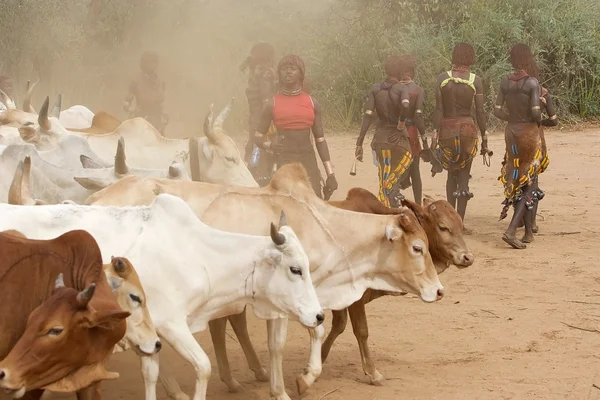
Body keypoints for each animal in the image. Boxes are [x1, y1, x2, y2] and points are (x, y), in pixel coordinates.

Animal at [84, 162, 442, 400]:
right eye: (417, 247)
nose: (438, 291)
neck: (323, 226)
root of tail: (97, 198)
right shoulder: (287, 300)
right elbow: (288, 341)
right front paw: (295, 384)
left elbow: (308, 332)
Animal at [322, 189, 476, 386]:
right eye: (443, 227)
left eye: (460, 225)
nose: (468, 258)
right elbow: (360, 330)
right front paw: (373, 373)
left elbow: (339, 325)